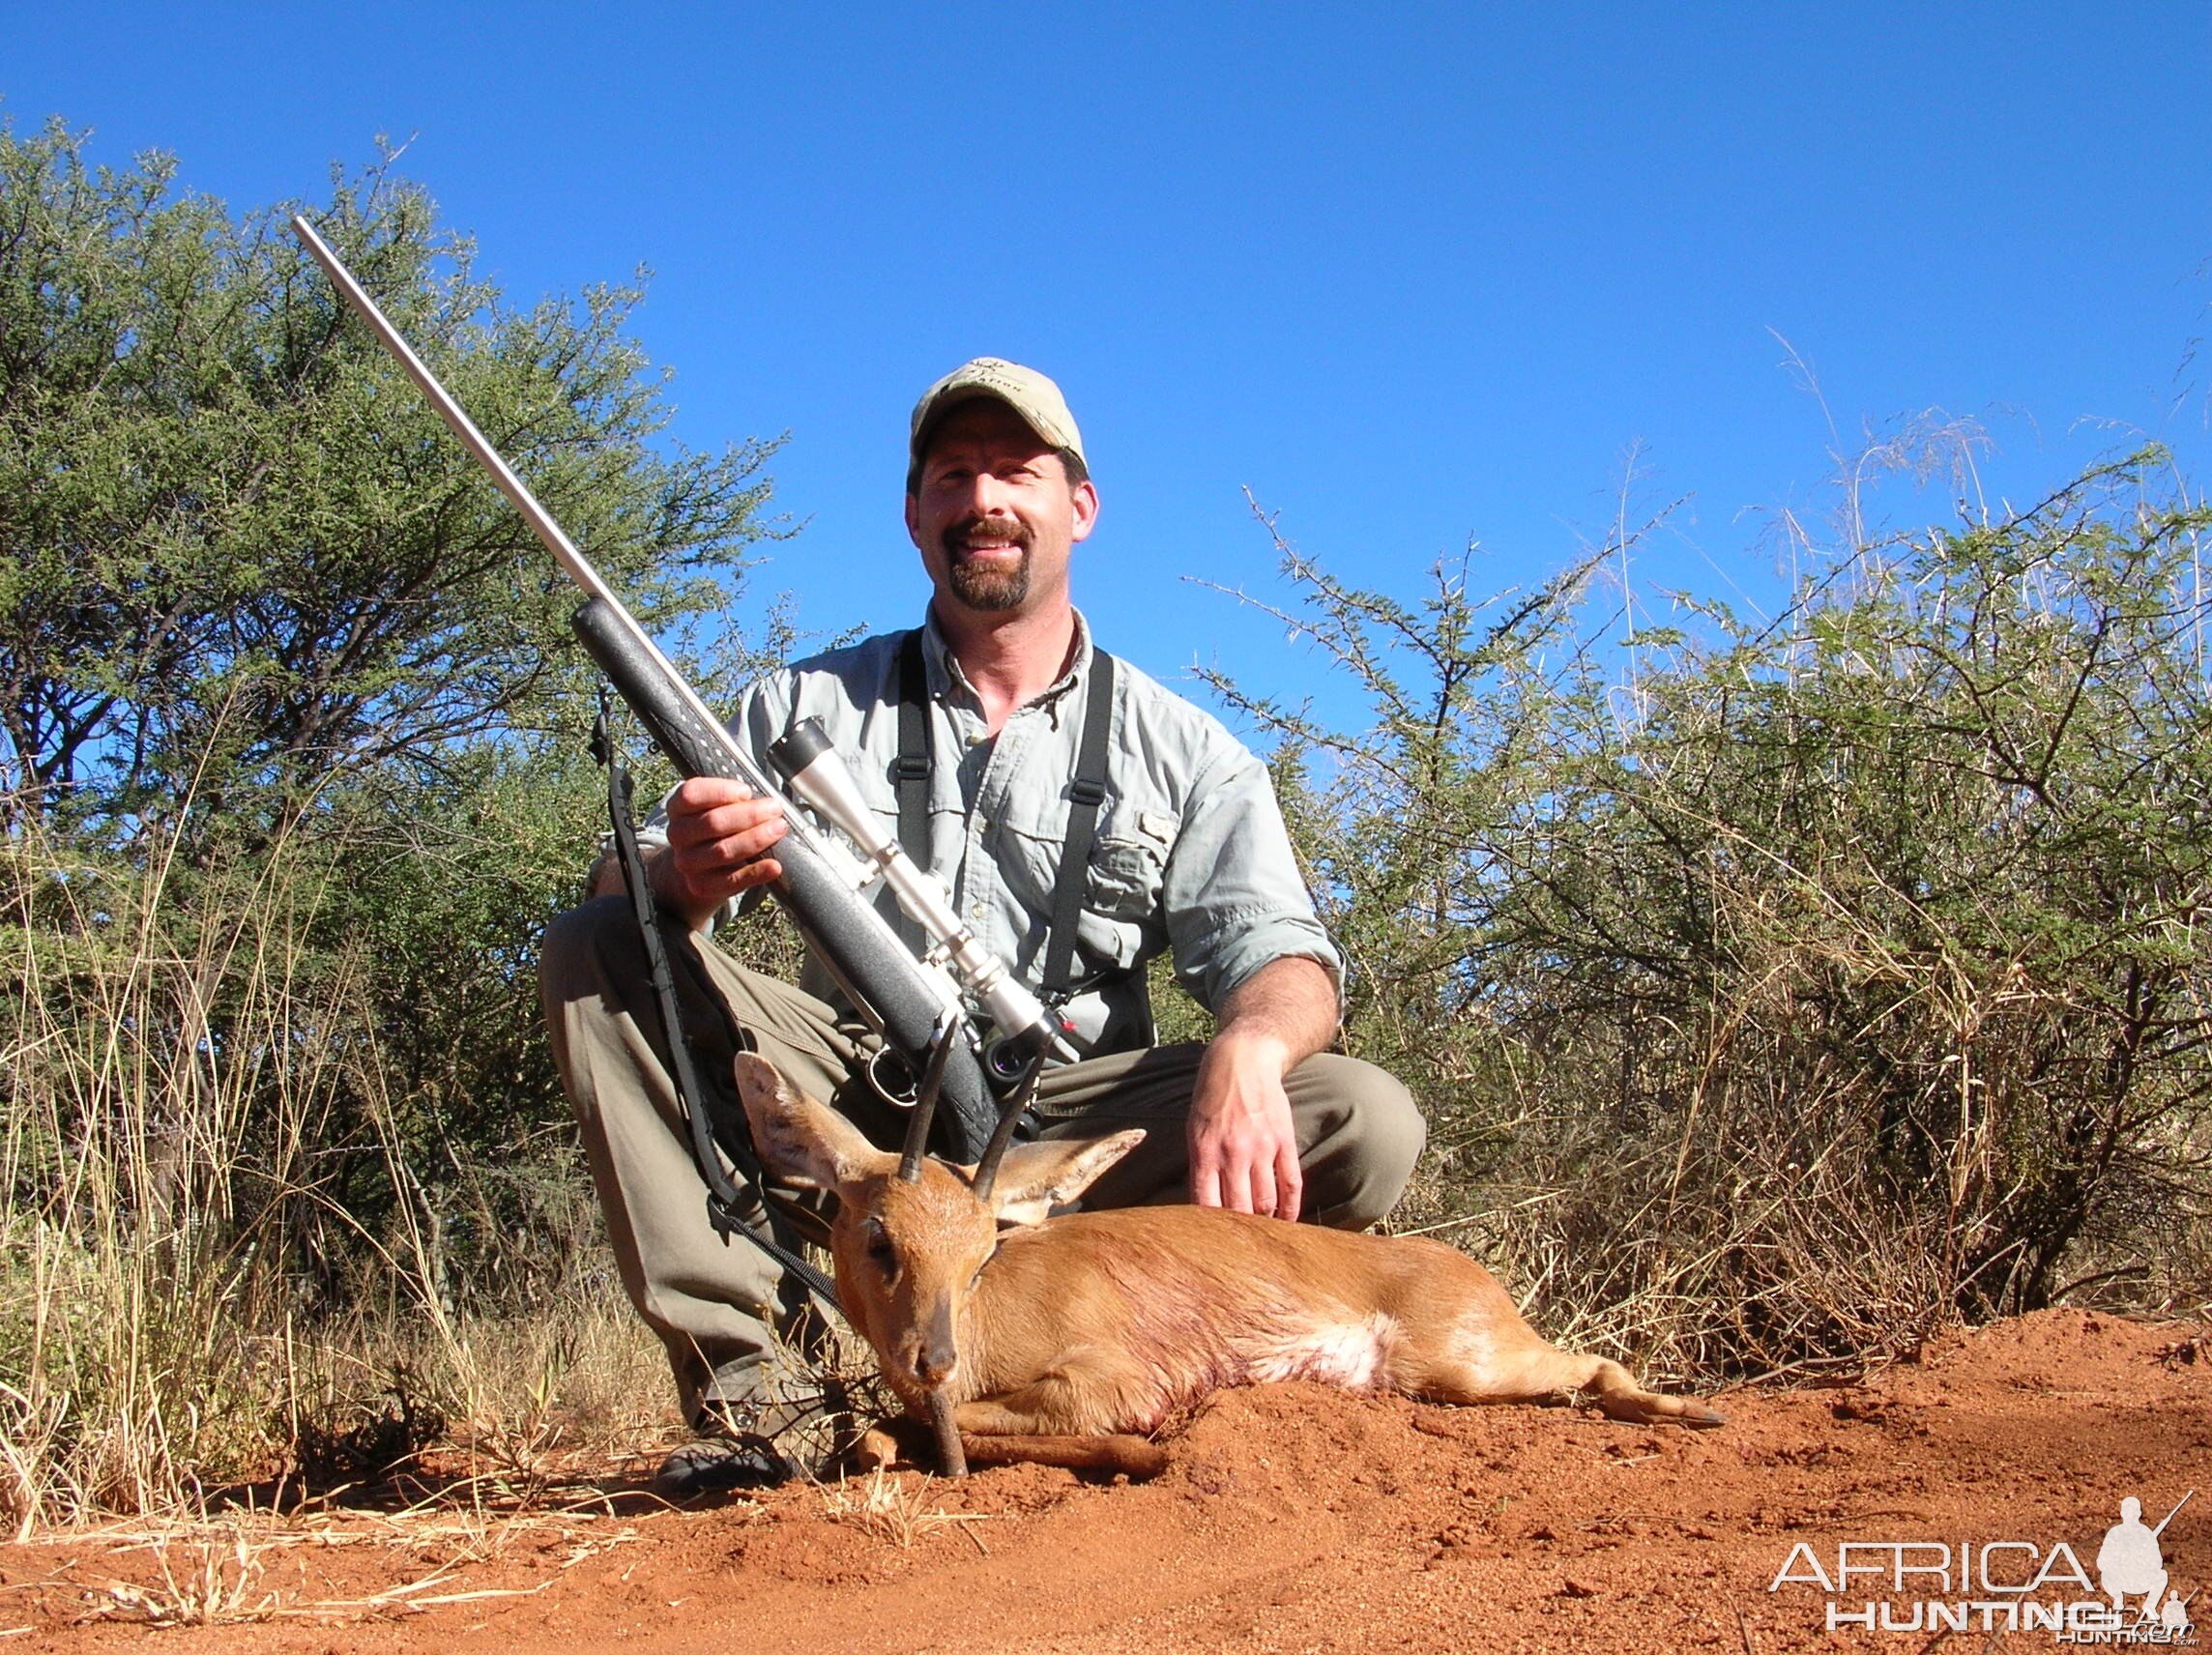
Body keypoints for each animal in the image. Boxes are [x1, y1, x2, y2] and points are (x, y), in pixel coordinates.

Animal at [734, 1053, 1716, 1468]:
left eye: (984, 1254)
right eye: (879, 1237)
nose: (931, 1357)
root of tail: (1474, 1274)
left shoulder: (1113, 1382)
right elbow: (870, 1435)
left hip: (1459, 1365)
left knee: (1596, 1364)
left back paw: (1695, 1413)